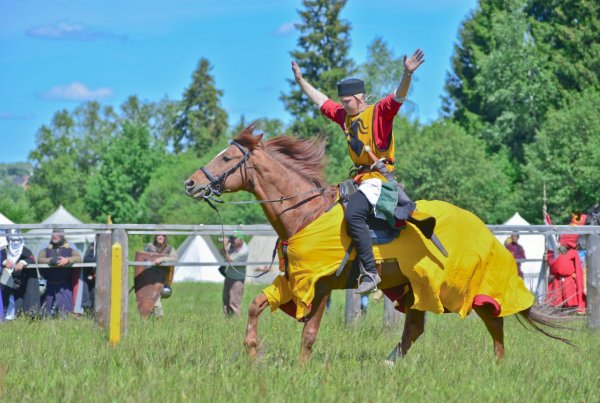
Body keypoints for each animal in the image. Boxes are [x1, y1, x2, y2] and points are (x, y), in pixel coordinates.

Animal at [185, 124, 568, 364]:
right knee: (414, 329)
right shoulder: (293, 282)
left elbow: (309, 333)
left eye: (226, 158)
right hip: (416, 288)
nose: (190, 184)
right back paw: (389, 364)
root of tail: (486, 233)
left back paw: (497, 364)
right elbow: (255, 305)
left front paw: (300, 368)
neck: (306, 212)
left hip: (464, 287)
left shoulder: (320, 285)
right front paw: (253, 352)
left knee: (494, 320)